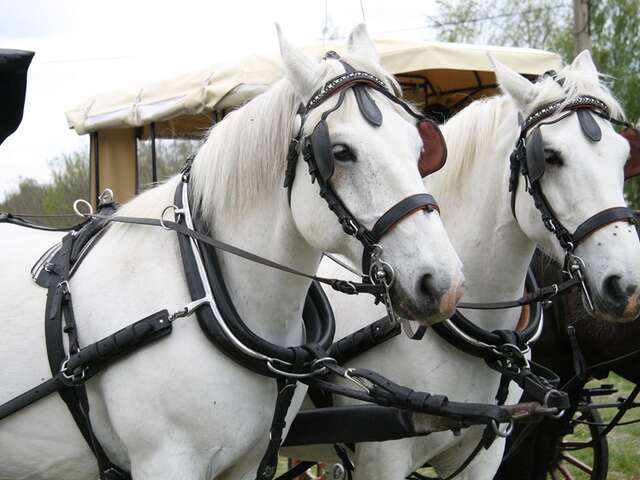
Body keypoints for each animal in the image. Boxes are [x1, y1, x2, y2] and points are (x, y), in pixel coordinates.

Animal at [0, 25, 462, 480]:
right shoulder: (165, 460)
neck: (203, 288)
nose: (444, 284)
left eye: (420, 148)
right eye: (341, 152)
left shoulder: (247, 460)